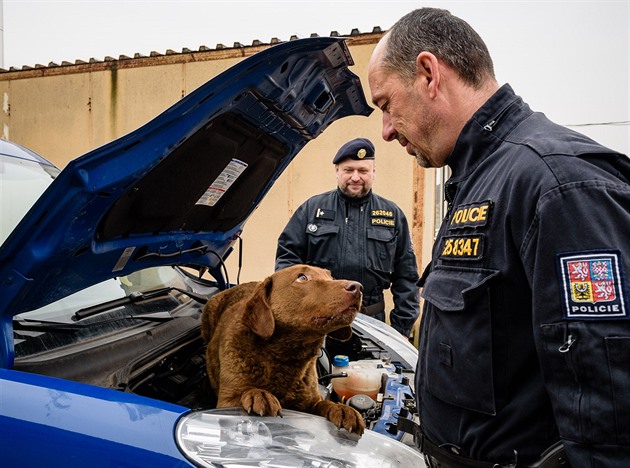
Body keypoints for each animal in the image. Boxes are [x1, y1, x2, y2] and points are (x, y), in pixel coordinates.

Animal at [202, 264, 368, 436]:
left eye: (331, 277)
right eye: (302, 277)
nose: (358, 287)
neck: (286, 358)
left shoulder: (311, 402)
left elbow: (324, 404)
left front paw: (342, 409)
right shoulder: (226, 401)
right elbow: (244, 393)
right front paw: (258, 393)